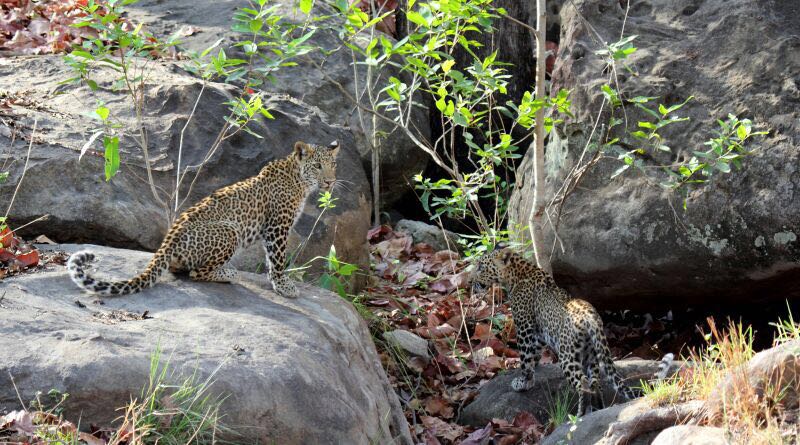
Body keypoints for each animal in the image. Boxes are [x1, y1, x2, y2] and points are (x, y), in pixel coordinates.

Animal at [69, 140, 340, 298]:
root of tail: (167, 242)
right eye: (317, 166)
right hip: (230, 231)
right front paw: (284, 285)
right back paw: (229, 273)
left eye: (333, 164)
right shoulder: (277, 226)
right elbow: (278, 259)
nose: (330, 181)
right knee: (196, 273)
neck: (299, 180)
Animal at [468, 248, 636, 414]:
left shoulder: (524, 328)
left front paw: (523, 381)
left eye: (481, 267)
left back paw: (579, 415)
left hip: (567, 355)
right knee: (595, 382)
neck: (516, 275)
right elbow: (535, 351)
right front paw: (534, 368)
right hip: (591, 353)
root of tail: (590, 316)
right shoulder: (540, 332)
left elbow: (525, 358)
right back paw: (596, 409)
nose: (469, 281)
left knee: (583, 383)